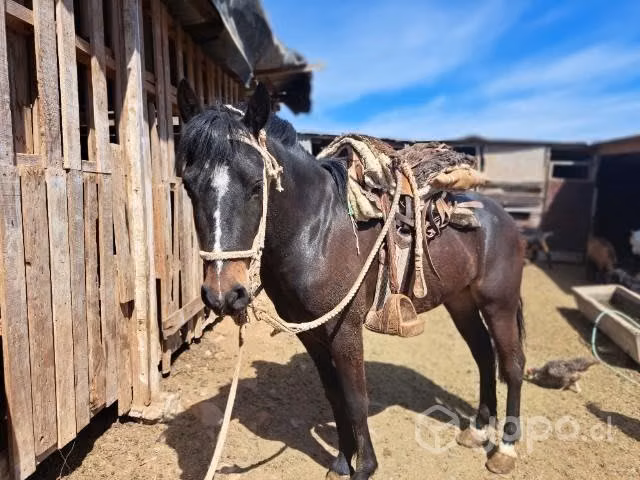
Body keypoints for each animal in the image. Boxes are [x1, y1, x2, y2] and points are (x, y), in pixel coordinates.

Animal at [176, 80, 526, 479]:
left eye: (255, 186)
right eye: (189, 186)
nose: (222, 293)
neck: (316, 231)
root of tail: (505, 218)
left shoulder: (344, 330)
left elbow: (356, 399)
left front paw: (365, 467)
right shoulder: (311, 333)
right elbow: (335, 397)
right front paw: (342, 462)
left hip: (499, 302)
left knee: (512, 364)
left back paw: (505, 449)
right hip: (461, 301)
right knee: (484, 354)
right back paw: (479, 429)